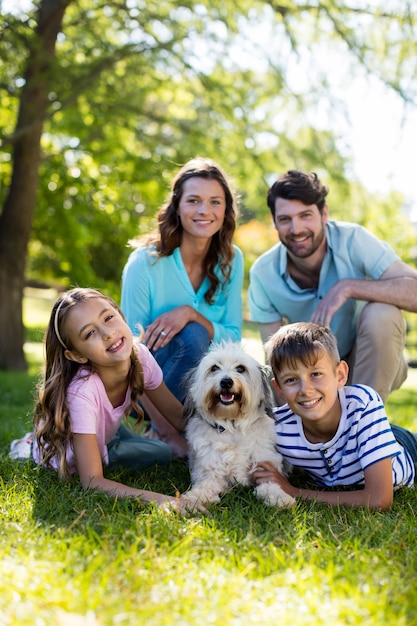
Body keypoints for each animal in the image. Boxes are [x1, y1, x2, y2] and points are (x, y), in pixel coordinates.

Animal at [183, 342, 296, 508]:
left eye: (241, 368)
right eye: (214, 368)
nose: (226, 382)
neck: (232, 426)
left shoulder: (264, 467)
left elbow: (270, 485)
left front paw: (280, 497)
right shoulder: (210, 473)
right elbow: (205, 486)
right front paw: (193, 497)